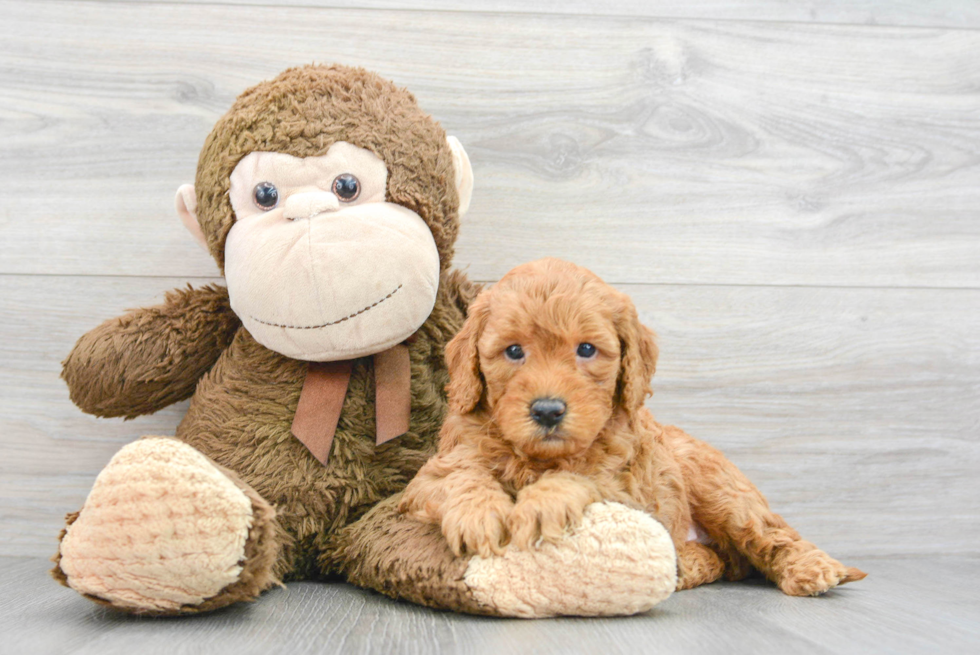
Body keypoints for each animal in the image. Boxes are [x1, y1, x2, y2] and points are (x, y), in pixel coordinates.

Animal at [398, 258, 864, 596]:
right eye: (513, 351)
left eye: (587, 349)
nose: (548, 411)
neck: (538, 457)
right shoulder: (432, 472)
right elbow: (460, 475)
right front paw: (478, 516)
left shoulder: (630, 486)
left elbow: (583, 475)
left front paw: (541, 505)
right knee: (722, 559)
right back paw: (686, 566)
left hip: (721, 489)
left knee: (770, 533)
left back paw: (815, 569)